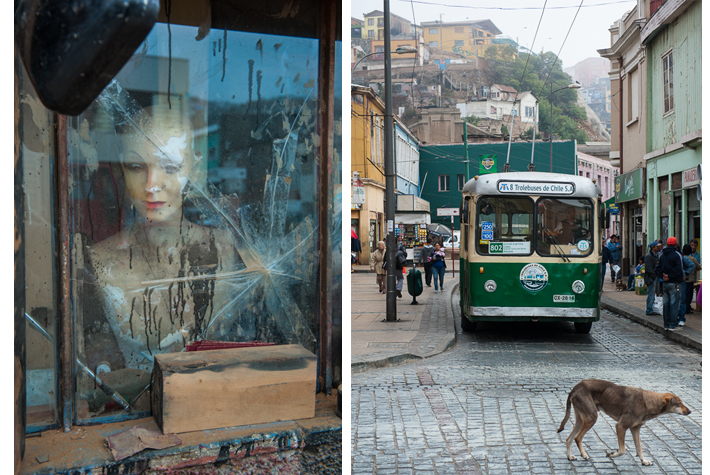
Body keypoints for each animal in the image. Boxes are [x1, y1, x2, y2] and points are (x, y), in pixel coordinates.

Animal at [560, 382, 692, 466]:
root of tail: (576, 387)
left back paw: (569, 456)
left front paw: (643, 461)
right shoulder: (620, 426)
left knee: (569, 438)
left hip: (581, 420)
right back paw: (583, 454)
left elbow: (639, 448)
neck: (647, 402)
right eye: (679, 403)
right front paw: (612, 454)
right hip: (591, 418)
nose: (690, 411)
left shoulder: (635, 429)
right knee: (577, 438)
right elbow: (622, 450)